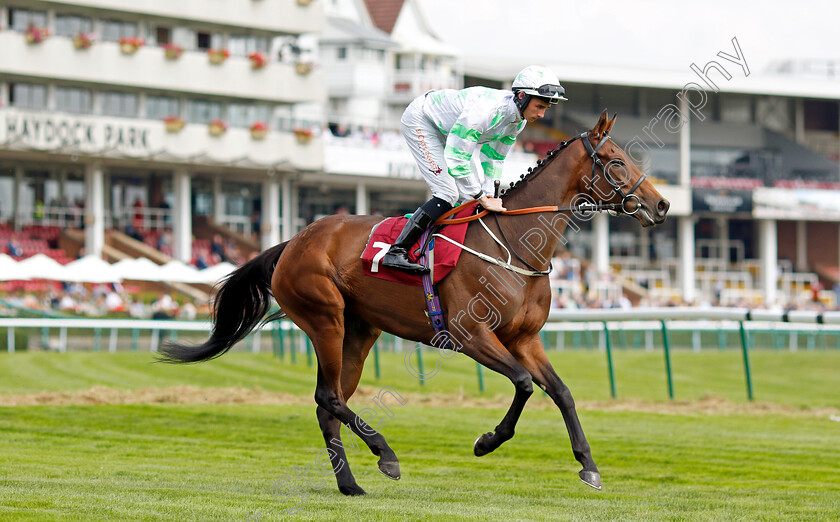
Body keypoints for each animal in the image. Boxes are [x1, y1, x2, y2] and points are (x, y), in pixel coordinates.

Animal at [159, 109, 668, 492]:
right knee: (327, 395)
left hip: (360, 331)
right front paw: (487, 441)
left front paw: (588, 465)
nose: (661, 206)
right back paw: (385, 454)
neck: (514, 242)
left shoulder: (524, 338)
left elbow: (560, 391)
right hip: (325, 318)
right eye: (615, 161)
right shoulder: (470, 334)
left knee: (329, 405)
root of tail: (292, 242)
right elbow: (524, 384)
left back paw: (350, 484)